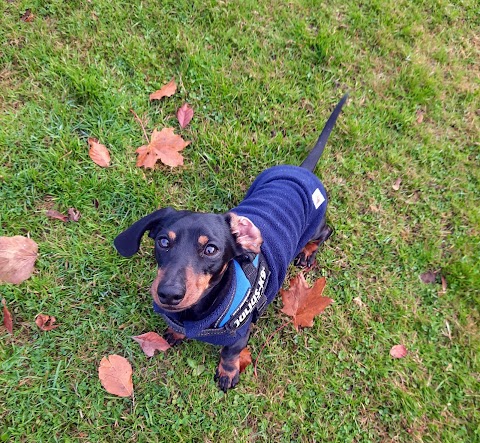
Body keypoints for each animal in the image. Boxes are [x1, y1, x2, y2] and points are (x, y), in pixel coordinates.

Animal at [114, 94, 346, 392]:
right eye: (164, 242)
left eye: (211, 249)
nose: (168, 294)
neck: (197, 313)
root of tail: (304, 172)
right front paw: (175, 333)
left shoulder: (238, 337)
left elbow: (229, 354)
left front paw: (227, 373)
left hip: (316, 226)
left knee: (325, 231)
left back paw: (307, 253)